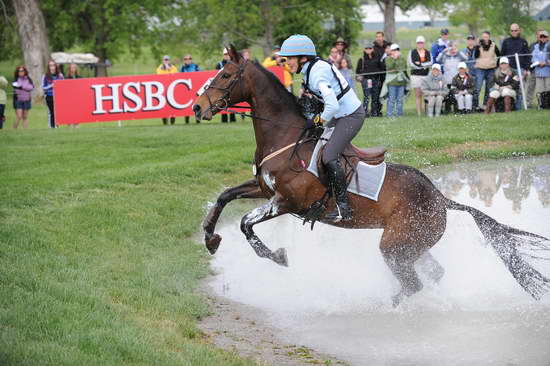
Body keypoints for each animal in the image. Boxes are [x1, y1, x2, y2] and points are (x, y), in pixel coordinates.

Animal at [191, 44, 550, 304]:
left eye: (225, 74)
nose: (196, 108)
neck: (284, 136)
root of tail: (441, 198)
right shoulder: (264, 190)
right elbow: (224, 198)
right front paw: (211, 239)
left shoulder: (286, 201)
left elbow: (245, 223)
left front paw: (277, 256)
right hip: (413, 244)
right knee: (432, 275)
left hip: (395, 246)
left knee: (413, 283)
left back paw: (390, 308)